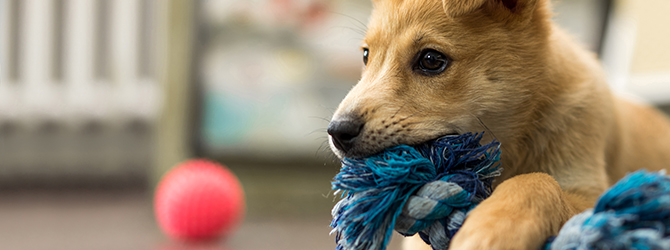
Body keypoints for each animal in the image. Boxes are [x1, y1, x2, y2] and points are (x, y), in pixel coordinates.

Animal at [328, 0, 670, 250]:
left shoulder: (593, 194)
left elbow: (538, 181)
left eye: (431, 60)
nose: (336, 132)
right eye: (366, 55)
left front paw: (495, 227)